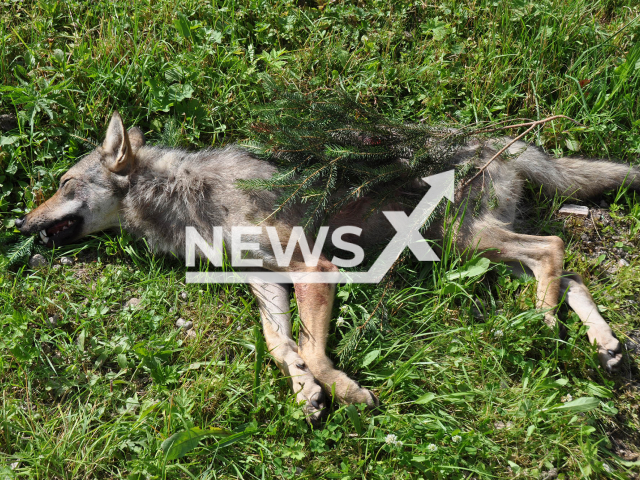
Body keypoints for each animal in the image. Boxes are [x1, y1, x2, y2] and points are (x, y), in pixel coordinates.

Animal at [16, 111, 640, 424]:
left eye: (63, 185)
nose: (21, 223)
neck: (188, 194)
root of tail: (501, 141)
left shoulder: (313, 267)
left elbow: (315, 350)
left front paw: (342, 390)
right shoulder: (266, 283)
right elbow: (280, 347)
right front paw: (305, 393)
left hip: (472, 242)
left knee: (554, 248)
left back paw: (544, 325)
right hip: (476, 250)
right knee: (569, 272)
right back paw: (603, 344)